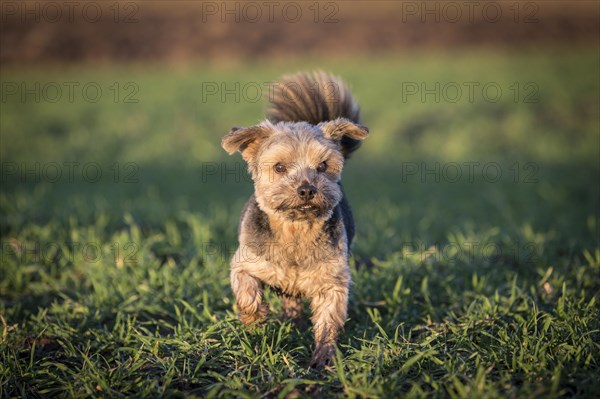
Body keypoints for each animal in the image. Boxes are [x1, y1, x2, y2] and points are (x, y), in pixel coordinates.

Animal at [221, 70, 368, 368]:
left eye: (323, 165)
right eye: (279, 167)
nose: (307, 189)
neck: (295, 230)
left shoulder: (332, 280)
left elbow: (328, 320)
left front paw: (323, 359)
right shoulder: (246, 260)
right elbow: (246, 290)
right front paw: (254, 319)